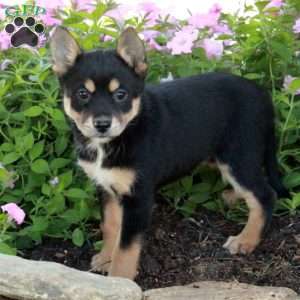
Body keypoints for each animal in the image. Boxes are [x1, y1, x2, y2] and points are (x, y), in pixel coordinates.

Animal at [50, 27, 290, 280]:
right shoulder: (107, 187)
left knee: (265, 194)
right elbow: (110, 226)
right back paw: (232, 197)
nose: (102, 124)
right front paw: (106, 259)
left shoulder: (139, 197)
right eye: (83, 94)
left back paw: (246, 240)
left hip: (238, 156)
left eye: (121, 94)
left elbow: (126, 248)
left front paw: (119, 279)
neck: (117, 139)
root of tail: (263, 95)